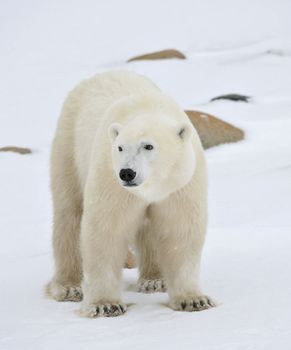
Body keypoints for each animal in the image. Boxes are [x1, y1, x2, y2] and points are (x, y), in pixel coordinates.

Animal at [45, 70, 214, 318]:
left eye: (148, 146)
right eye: (120, 147)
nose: (127, 172)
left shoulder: (180, 184)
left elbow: (180, 231)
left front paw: (193, 300)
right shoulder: (110, 179)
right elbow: (106, 229)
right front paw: (105, 304)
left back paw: (154, 280)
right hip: (68, 145)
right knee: (69, 214)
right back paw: (68, 287)